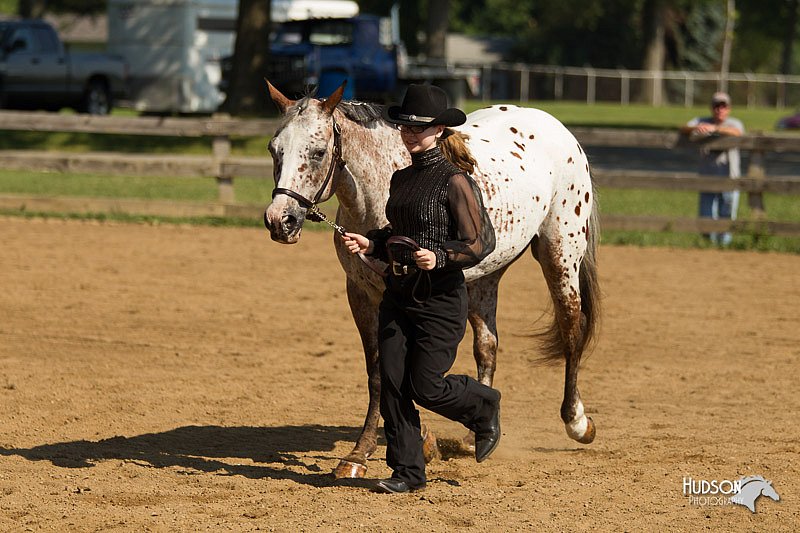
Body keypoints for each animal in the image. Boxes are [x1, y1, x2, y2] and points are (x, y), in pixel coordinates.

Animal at [264, 83, 600, 478]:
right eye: (274, 149)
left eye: (317, 152)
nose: (280, 220)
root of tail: (556, 127)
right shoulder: (361, 295)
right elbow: (379, 373)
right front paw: (360, 454)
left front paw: (418, 443)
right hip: (486, 278)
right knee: (487, 346)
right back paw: (477, 433)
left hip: (561, 255)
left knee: (571, 327)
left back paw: (577, 422)